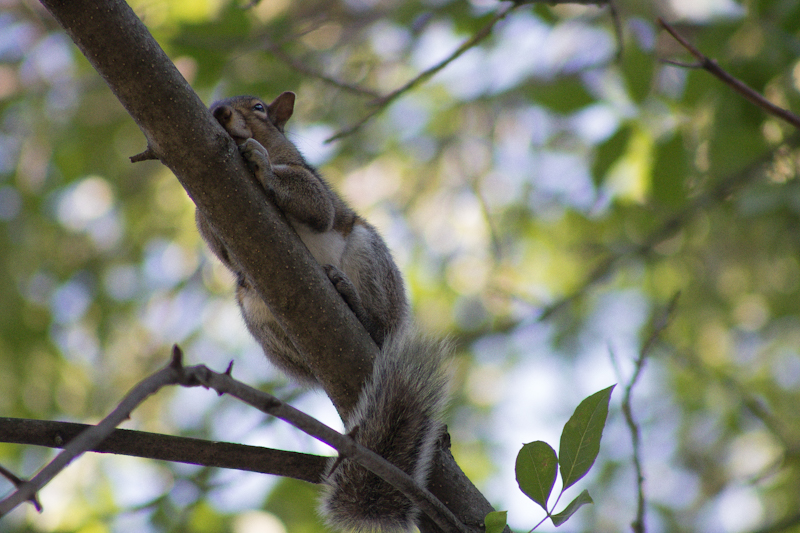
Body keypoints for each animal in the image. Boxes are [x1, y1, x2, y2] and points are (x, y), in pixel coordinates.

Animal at [195, 92, 450, 532]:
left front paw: (263, 163)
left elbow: (316, 204)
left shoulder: (311, 183)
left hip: (368, 255)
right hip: (257, 312)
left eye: (259, 108)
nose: (219, 113)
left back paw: (357, 308)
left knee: (379, 325)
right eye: (214, 103)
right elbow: (217, 242)